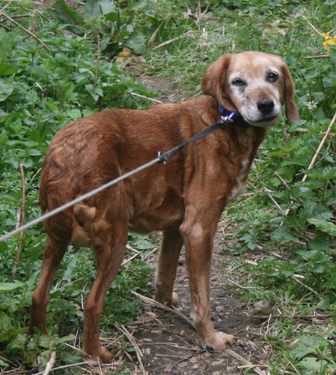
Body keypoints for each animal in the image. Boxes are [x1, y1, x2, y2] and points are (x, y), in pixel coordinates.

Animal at [27, 51, 298, 362]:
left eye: (272, 76)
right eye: (238, 82)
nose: (266, 105)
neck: (224, 120)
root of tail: (63, 160)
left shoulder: (175, 227)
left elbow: (166, 272)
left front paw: (164, 304)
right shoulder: (199, 229)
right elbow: (201, 298)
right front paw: (210, 339)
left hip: (55, 240)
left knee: (38, 295)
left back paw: (40, 340)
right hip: (115, 239)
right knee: (92, 304)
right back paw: (97, 355)